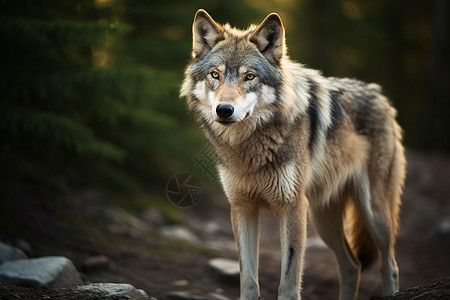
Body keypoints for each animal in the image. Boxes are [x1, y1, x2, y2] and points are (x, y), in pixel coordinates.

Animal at [181, 9, 406, 300]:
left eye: (250, 77)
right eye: (215, 74)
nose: (224, 110)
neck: (249, 147)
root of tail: (380, 95)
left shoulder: (292, 206)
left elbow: (288, 280)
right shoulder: (242, 207)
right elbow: (248, 278)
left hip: (373, 213)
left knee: (390, 264)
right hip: (323, 220)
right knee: (352, 266)